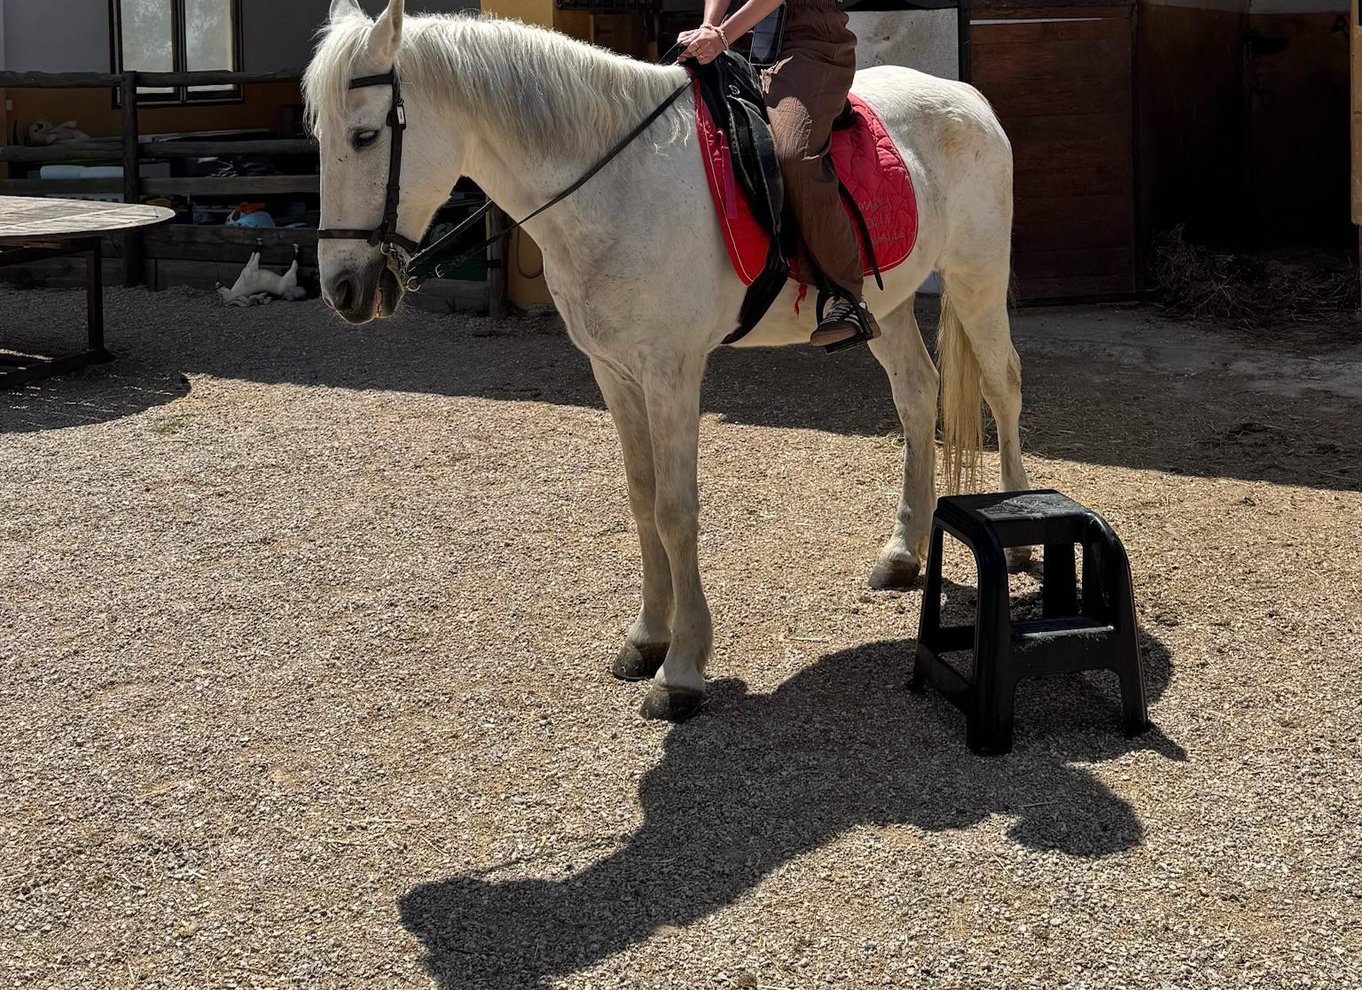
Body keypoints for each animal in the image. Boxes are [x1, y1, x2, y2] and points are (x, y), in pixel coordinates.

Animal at [305, 0, 1031, 721]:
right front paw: (646, 639)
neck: (618, 187)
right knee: (916, 394)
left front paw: (681, 670)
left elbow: (675, 511)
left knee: (1003, 389)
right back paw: (903, 554)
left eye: (365, 136)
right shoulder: (615, 372)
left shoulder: (672, 373)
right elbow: (641, 497)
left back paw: (1021, 531)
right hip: (889, 302)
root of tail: (966, 97)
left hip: (975, 277)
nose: (342, 290)